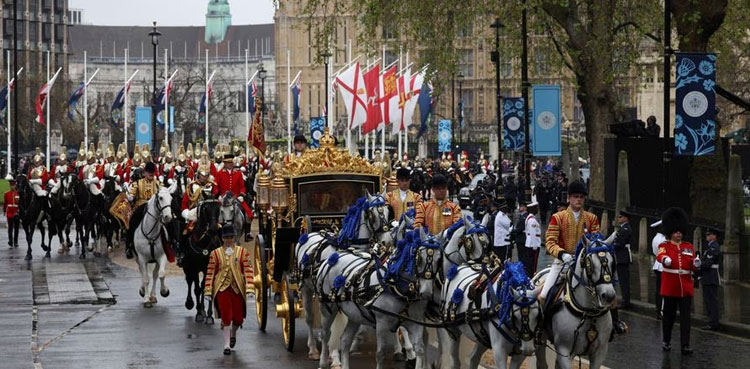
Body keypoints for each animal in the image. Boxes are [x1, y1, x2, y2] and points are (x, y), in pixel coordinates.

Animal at [184, 194, 222, 324]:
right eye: (205, 209)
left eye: (218, 208)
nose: (213, 229)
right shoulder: (194, 267)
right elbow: (196, 289)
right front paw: (199, 313)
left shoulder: (208, 267)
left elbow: (206, 288)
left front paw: (209, 315)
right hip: (187, 267)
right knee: (189, 282)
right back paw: (191, 303)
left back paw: (203, 309)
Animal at [316, 227, 444, 368]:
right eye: (419, 258)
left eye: (439, 260)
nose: (426, 293)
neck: (398, 288)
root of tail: (333, 257)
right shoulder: (382, 323)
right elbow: (381, 353)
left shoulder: (415, 322)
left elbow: (420, 348)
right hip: (327, 307)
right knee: (326, 334)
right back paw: (323, 363)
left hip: (355, 315)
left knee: (345, 340)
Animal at [536, 234, 624, 366]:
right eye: (590, 264)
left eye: (612, 262)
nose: (609, 296)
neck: (589, 313)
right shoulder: (564, 351)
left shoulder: (600, 352)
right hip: (541, 339)